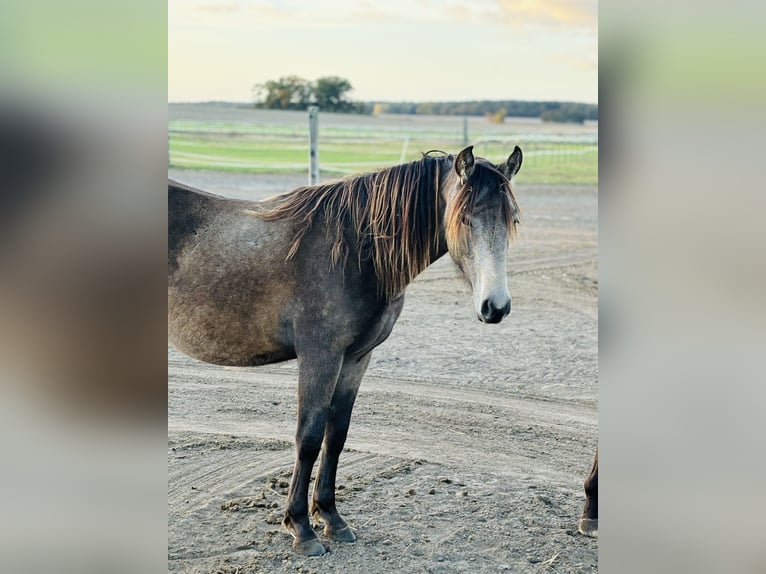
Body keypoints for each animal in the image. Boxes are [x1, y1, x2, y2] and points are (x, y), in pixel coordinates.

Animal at [169, 146, 524, 556]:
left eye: (512, 219)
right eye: (464, 218)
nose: (495, 306)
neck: (354, 251)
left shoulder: (356, 358)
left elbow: (336, 435)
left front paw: (331, 518)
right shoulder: (320, 356)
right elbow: (308, 438)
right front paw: (300, 527)